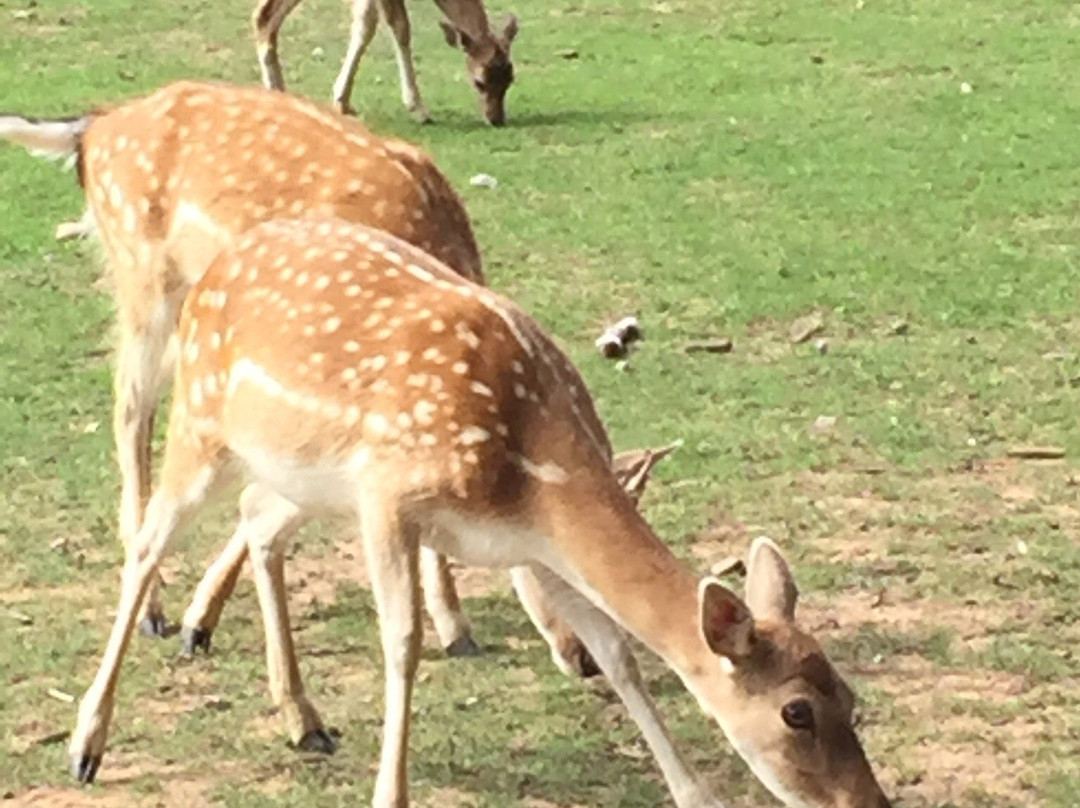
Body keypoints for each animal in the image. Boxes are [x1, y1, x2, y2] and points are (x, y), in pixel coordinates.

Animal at [0, 78, 591, 704]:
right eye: (557, 567)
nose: (584, 658)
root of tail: (91, 132)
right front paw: (196, 622)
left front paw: (456, 626)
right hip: (146, 281)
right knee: (132, 409)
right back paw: (155, 610)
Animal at [69, 214, 894, 808]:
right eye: (796, 712)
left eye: (851, 695)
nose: (867, 804)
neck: (528, 474)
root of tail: (213, 269)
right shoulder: (388, 494)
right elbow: (403, 642)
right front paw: (390, 795)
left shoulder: (535, 549)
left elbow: (620, 653)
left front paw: (696, 795)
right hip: (202, 423)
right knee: (147, 541)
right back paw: (88, 743)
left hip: (299, 477)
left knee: (255, 518)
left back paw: (303, 719)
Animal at [257, 0, 518, 124]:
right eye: (479, 81)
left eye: (511, 79)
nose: (496, 119)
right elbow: (400, 26)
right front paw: (419, 109)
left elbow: (365, 23)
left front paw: (343, 102)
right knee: (263, 16)